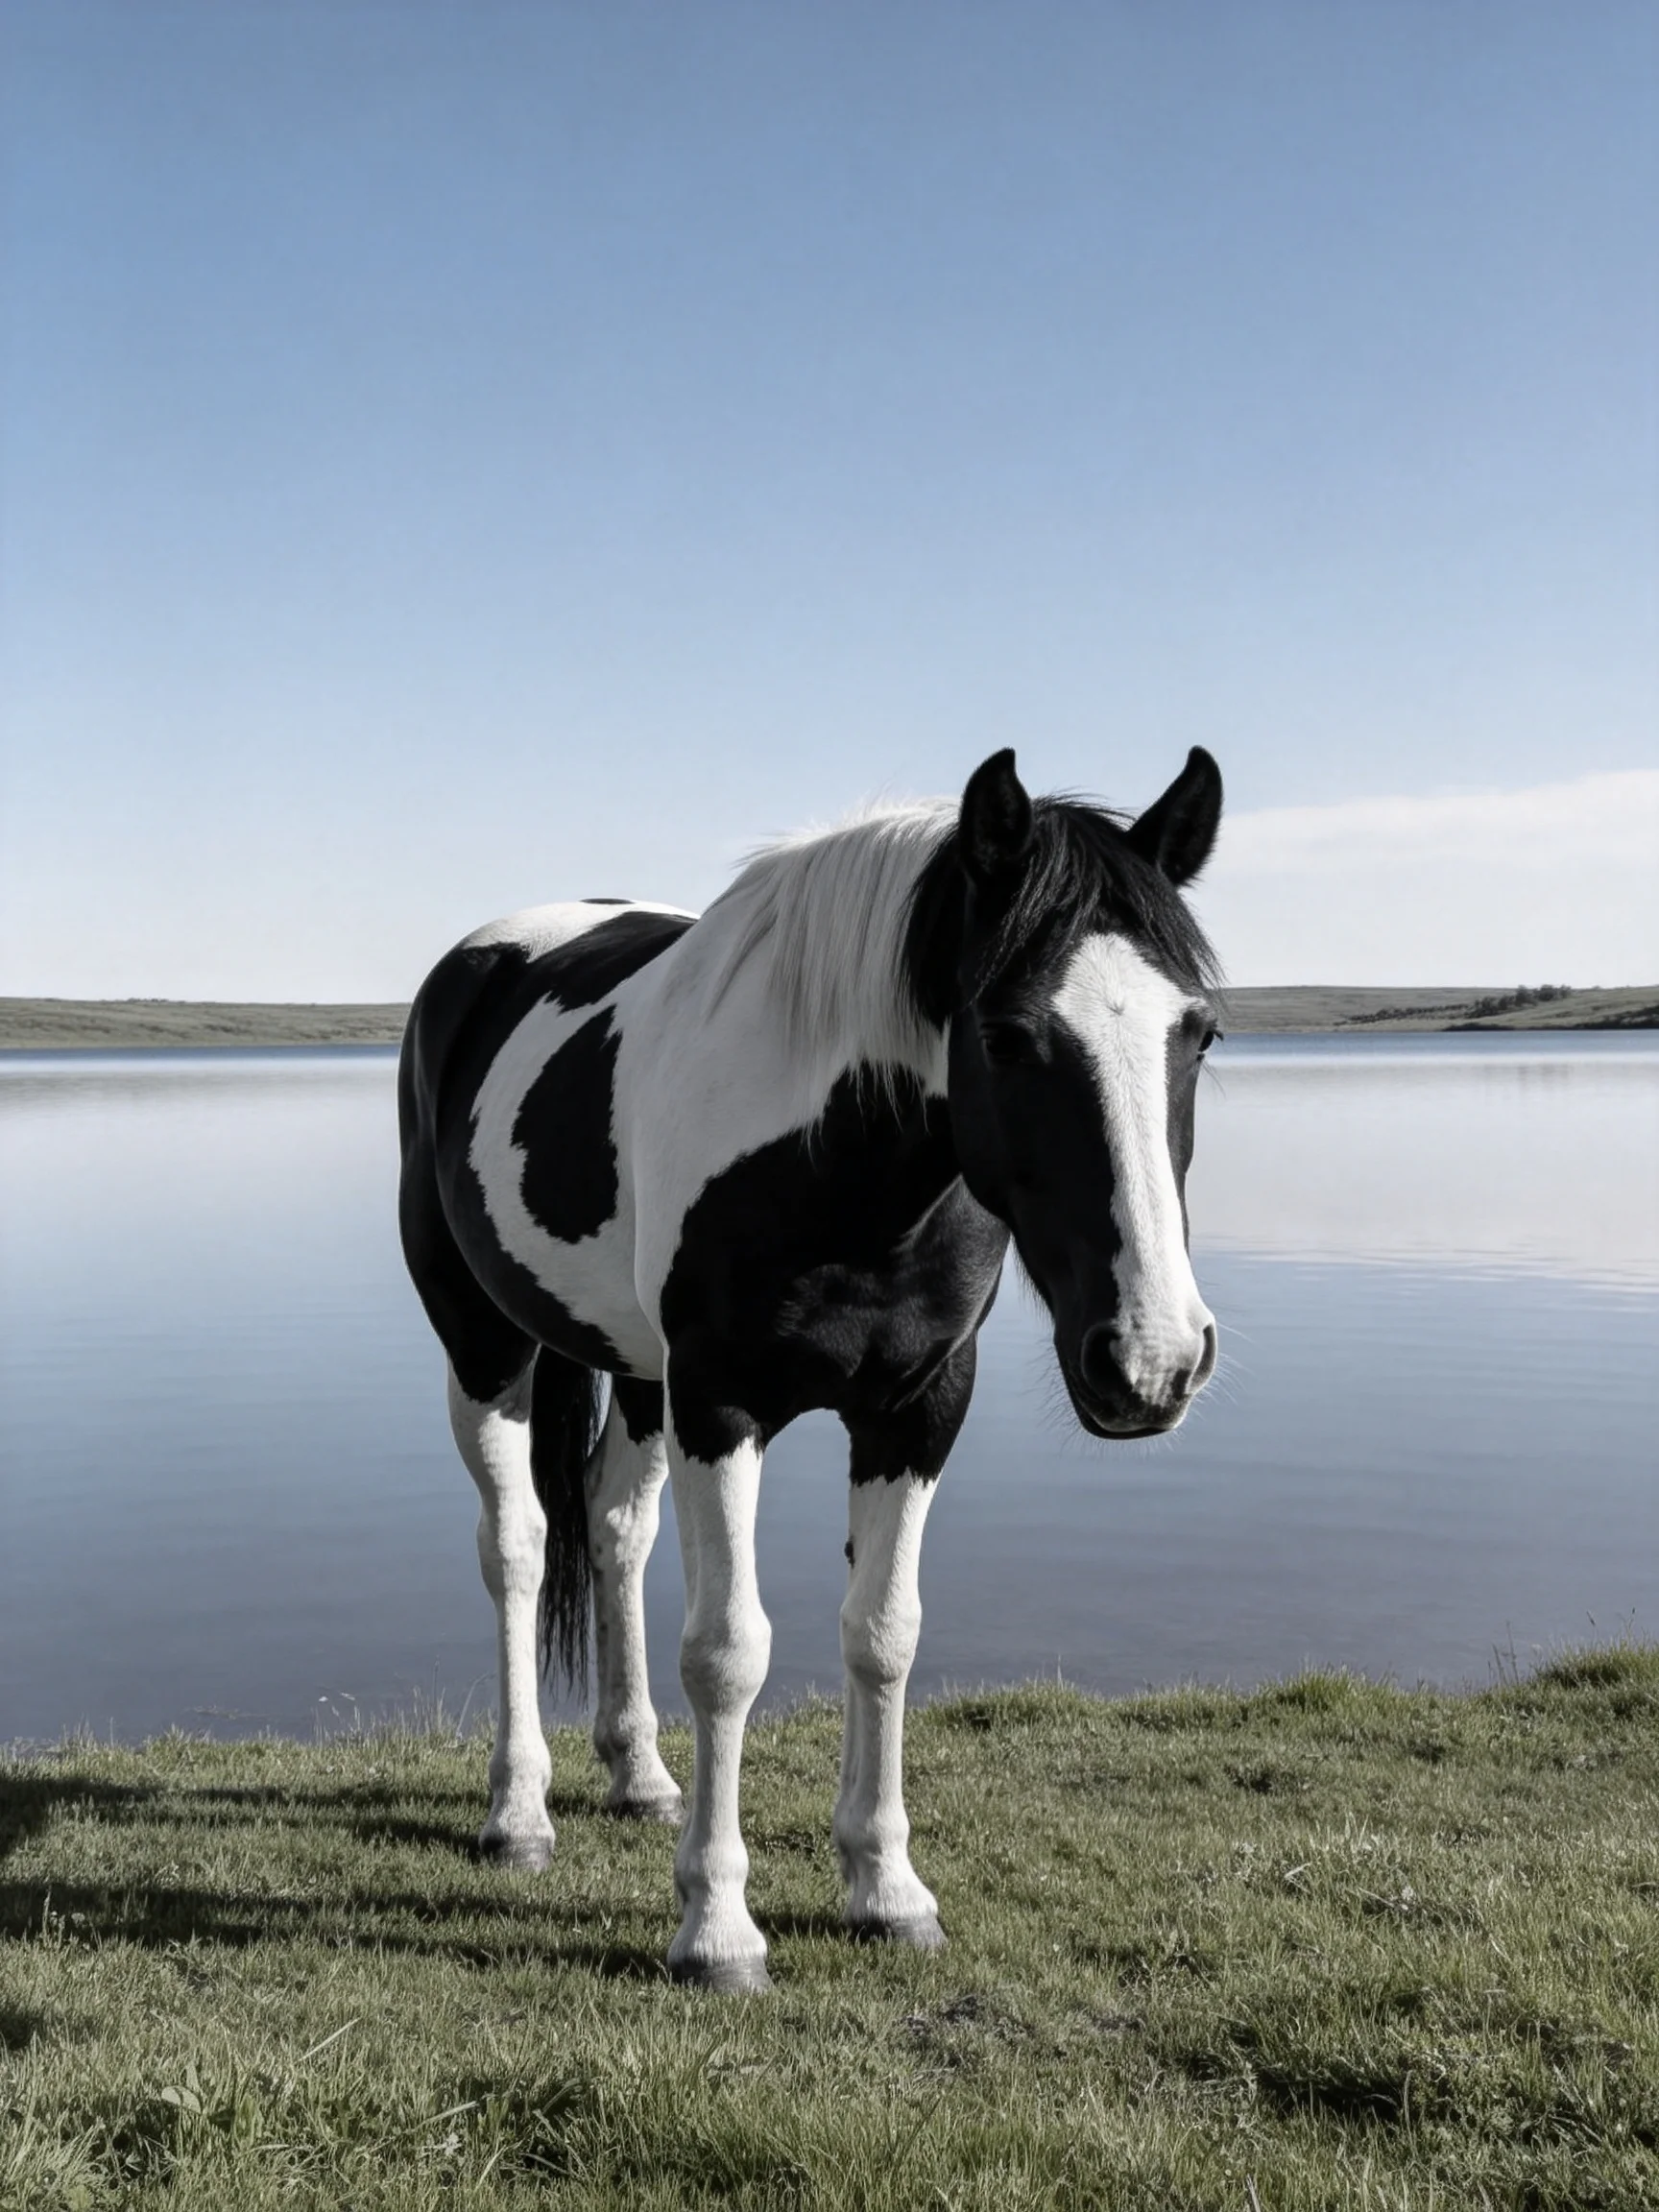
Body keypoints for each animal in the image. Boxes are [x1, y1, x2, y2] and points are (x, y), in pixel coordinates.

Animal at [398, 745, 1223, 1990]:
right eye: (1005, 1035)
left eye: (1199, 1032)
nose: (1153, 1360)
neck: (841, 1167)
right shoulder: (721, 1401)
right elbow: (729, 1651)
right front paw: (717, 1928)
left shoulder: (917, 1406)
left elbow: (883, 1632)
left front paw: (886, 1888)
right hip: (488, 1343)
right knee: (521, 1548)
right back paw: (519, 1812)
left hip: (641, 1379)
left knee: (614, 1529)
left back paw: (638, 1773)